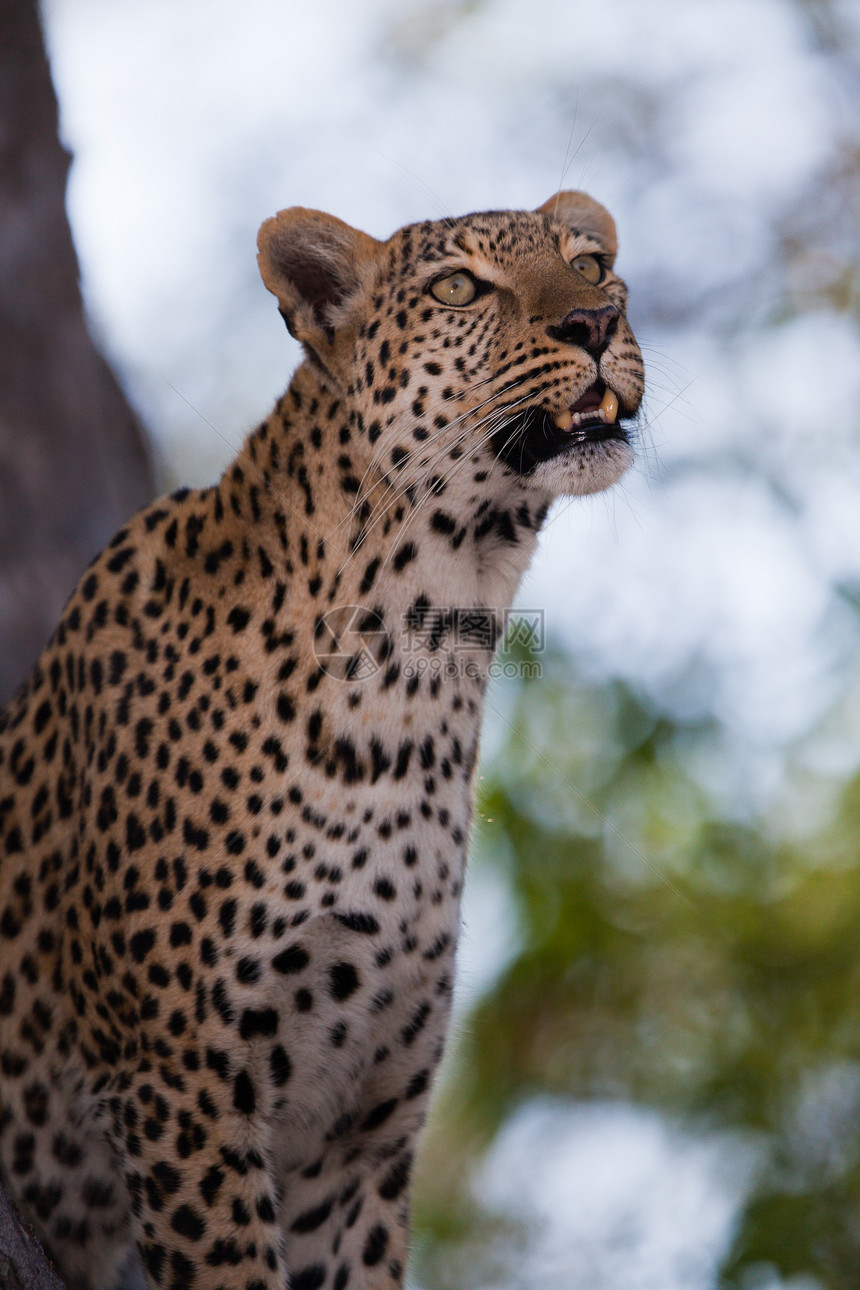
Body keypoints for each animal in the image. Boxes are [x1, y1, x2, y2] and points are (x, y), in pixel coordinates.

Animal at [0, 187, 642, 1284]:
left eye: (591, 265)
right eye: (459, 287)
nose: (595, 323)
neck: (425, 654)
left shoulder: (358, 1134)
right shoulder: (179, 1084)